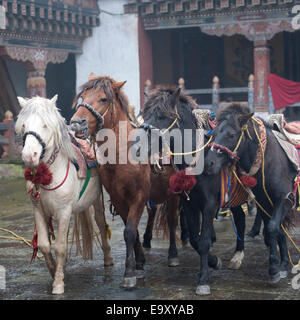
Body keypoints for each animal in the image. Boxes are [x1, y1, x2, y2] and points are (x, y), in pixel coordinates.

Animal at [15, 95, 113, 296]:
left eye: (45, 125)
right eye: (24, 125)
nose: (29, 156)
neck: (49, 173)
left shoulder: (64, 210)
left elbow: (60, 246)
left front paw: (58, 283)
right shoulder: (39, 210)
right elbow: (45, 245)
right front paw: (54, 271)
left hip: (95, 202)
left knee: (101, 224)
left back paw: (108, 259)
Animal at [69, 75, 179, 288]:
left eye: (103, 99)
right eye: (83, 97)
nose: (77, 123)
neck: (121, 155)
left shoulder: (138, 197)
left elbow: (129, 231)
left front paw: (129, 274)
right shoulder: (119, 199)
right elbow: (132, 231)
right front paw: (140, 263)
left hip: (173, 192)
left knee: (172, 218)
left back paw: (173, 255)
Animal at [139, 85, 251, 296]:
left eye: (161, 116)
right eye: (144, 114)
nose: (138, 146)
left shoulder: (209, 204)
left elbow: (204, 240)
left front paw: (204, 280)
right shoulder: (188, 202)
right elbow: (195, 240)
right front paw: (214, 261)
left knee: (241, 219)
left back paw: (238, 256)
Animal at [205, 103, 296, 282]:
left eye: (231, 134)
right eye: (214, 133)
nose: (210, 162)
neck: (268, 160)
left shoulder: (284, 198)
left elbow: (273, 227)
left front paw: (275, 267)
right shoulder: (265, 200)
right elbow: (277, 229)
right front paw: (281, 265)